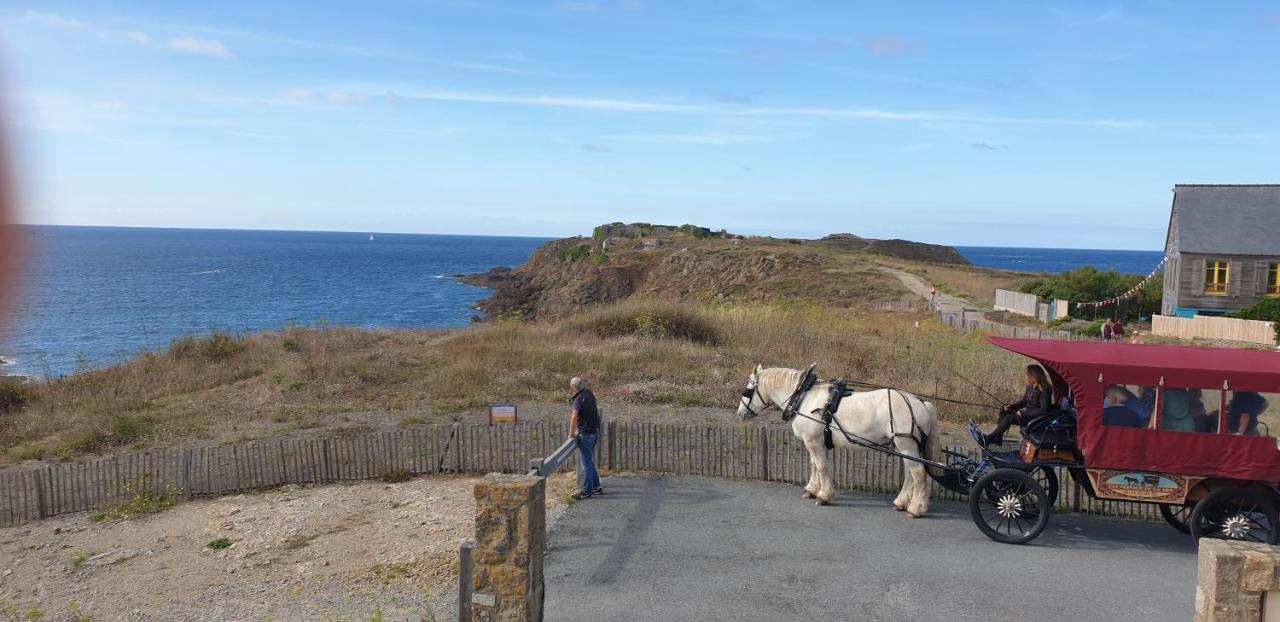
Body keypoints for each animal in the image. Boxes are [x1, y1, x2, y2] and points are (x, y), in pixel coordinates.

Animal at [742, 363, 942, 514]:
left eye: (748, 390)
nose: (740, 413)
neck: (803, 397)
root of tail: (921, 403)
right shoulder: (814, 442)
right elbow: (814, 465)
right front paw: (811, 490)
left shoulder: (813, 441)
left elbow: (822, 466)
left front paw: (823, 496)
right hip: (904, 448)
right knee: (910, 474)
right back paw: (900, 502)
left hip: (906, 445)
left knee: (918, 473)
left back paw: (916, 509)